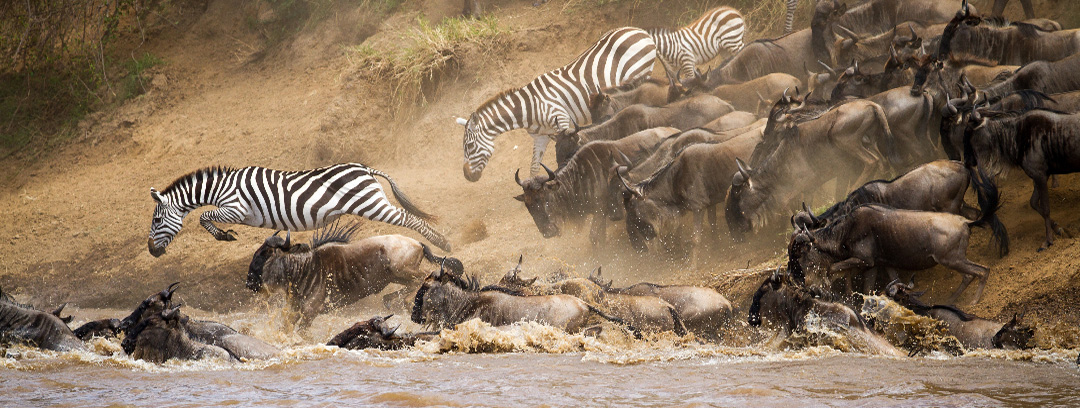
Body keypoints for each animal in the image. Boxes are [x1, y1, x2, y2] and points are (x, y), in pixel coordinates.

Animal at [145, 161, 449, 254]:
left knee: (409, 218)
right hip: (371, 202)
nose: (151, 251)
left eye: (157, 221)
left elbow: (204, 216)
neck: (221, 187)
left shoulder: (236, 209)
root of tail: (365, 168)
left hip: (370, 203)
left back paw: (443, 243)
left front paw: (224, 235)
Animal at [453, 27, 652, 181]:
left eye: (469, 147)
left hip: (640, 73)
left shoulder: (562, 121)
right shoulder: (540, 137)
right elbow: (534, 167)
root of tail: (638, 30)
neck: (529, 107)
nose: (467, 177)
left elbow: (569, 152)